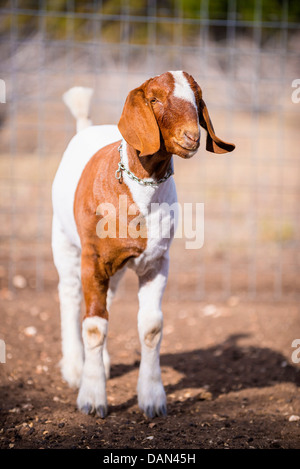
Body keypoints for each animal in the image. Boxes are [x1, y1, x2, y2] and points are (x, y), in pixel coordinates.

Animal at [51, 70, 234, 416]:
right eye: (154, 99)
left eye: (197, 99)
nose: (192, 137)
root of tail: (86, 127)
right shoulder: (93, 258)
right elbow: (93, 326)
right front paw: (91, 398)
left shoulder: (156, 261)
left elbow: (151, 328)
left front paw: (152, 399)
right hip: (65, 241)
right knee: (69, 296)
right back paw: (74, 368)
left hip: (116, 266)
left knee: (107, 300)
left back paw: (103, 363)